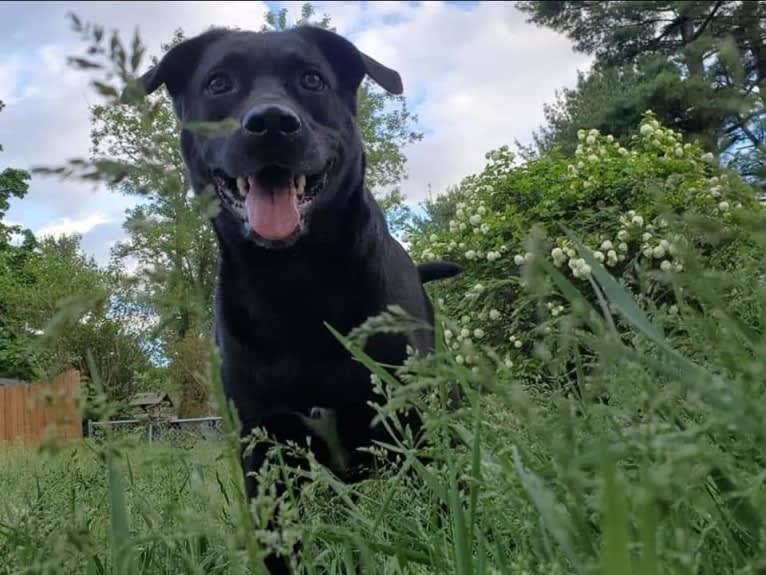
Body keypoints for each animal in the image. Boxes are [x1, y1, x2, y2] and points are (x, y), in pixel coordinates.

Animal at [138, 24, 462, 572]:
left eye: (312, 79)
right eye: (219, 82)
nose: (270, 123)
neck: (295, 282)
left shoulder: (409, 420)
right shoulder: (263, 448)